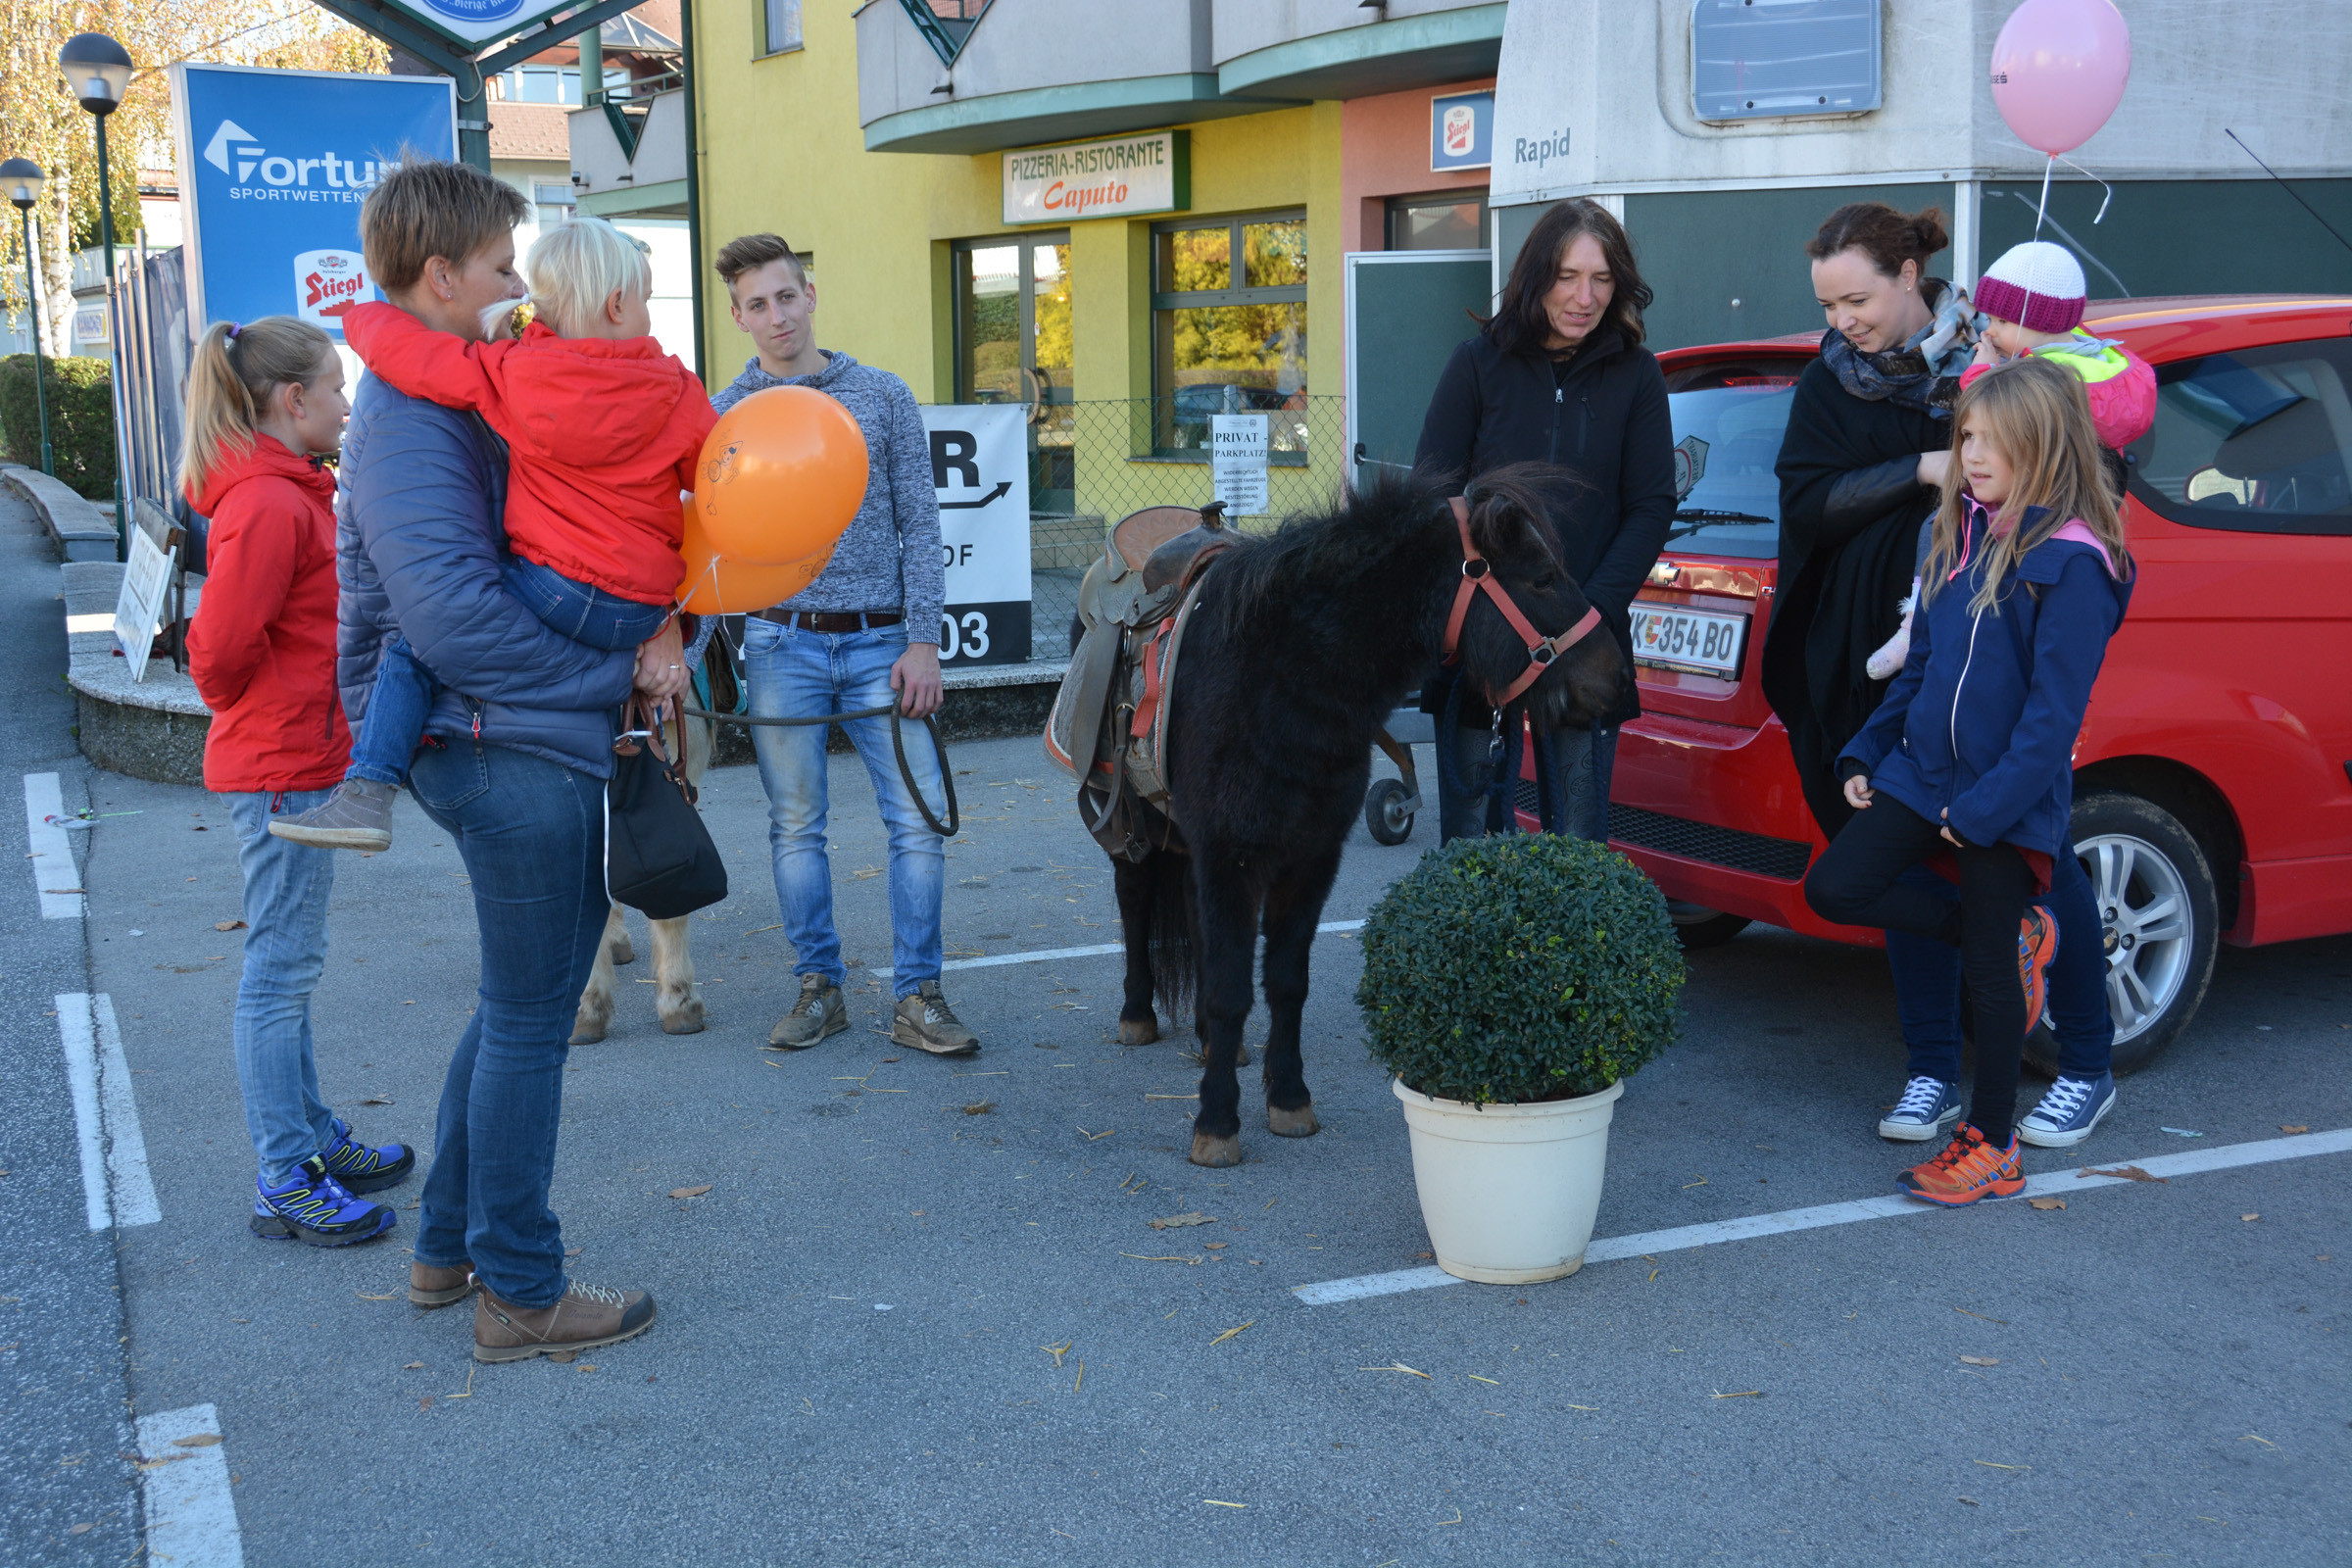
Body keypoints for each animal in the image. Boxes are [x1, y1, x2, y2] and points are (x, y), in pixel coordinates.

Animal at [1086, 465, 1627, 1165]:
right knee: (1134, 900)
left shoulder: (1309, 857)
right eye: (1540, 577)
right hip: (1132, 826)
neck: (1278, 680)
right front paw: (1217, 1122)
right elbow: (1232, 988)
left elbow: (1285, 982)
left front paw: (1288, 1099)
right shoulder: (1233, 853)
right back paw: (1138, 1015)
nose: (1617, 682)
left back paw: (1211, 1043)